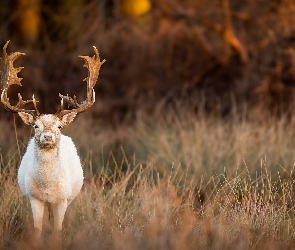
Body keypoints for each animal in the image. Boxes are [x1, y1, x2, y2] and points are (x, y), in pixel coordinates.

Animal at [0, 41, 106, 238]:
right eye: (35, 126)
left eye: (59, 126)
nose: (47, 136)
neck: (47, 187)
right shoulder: (34, 198)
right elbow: (37, 229)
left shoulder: (62, 199)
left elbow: (57, 230)